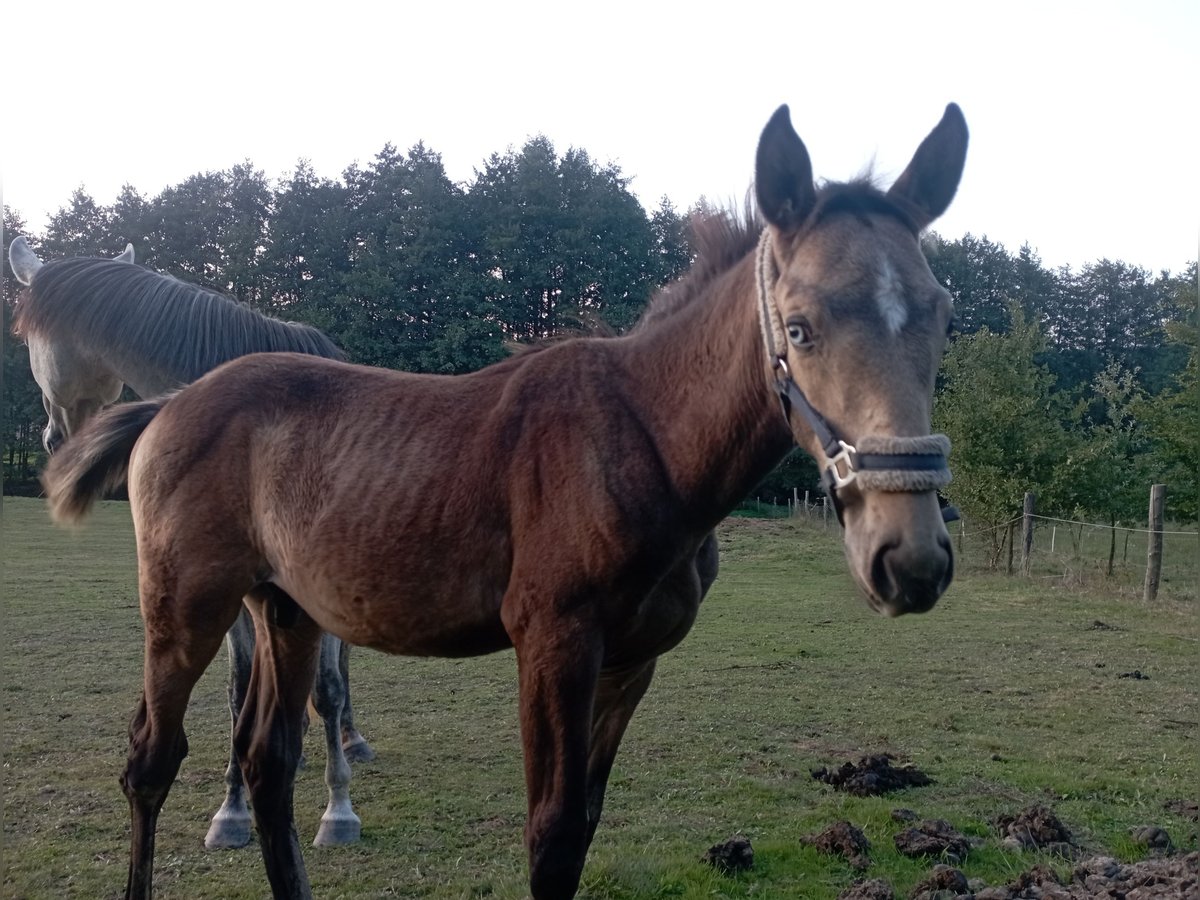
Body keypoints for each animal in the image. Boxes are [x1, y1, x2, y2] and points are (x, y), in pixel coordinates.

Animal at [8, 236, 369, 849]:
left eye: (26, 339)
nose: (52, 437)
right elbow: (238, 690)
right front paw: (232, 811)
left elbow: (327, 686)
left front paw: (338, 810)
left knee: (338, 673)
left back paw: (348, 740)